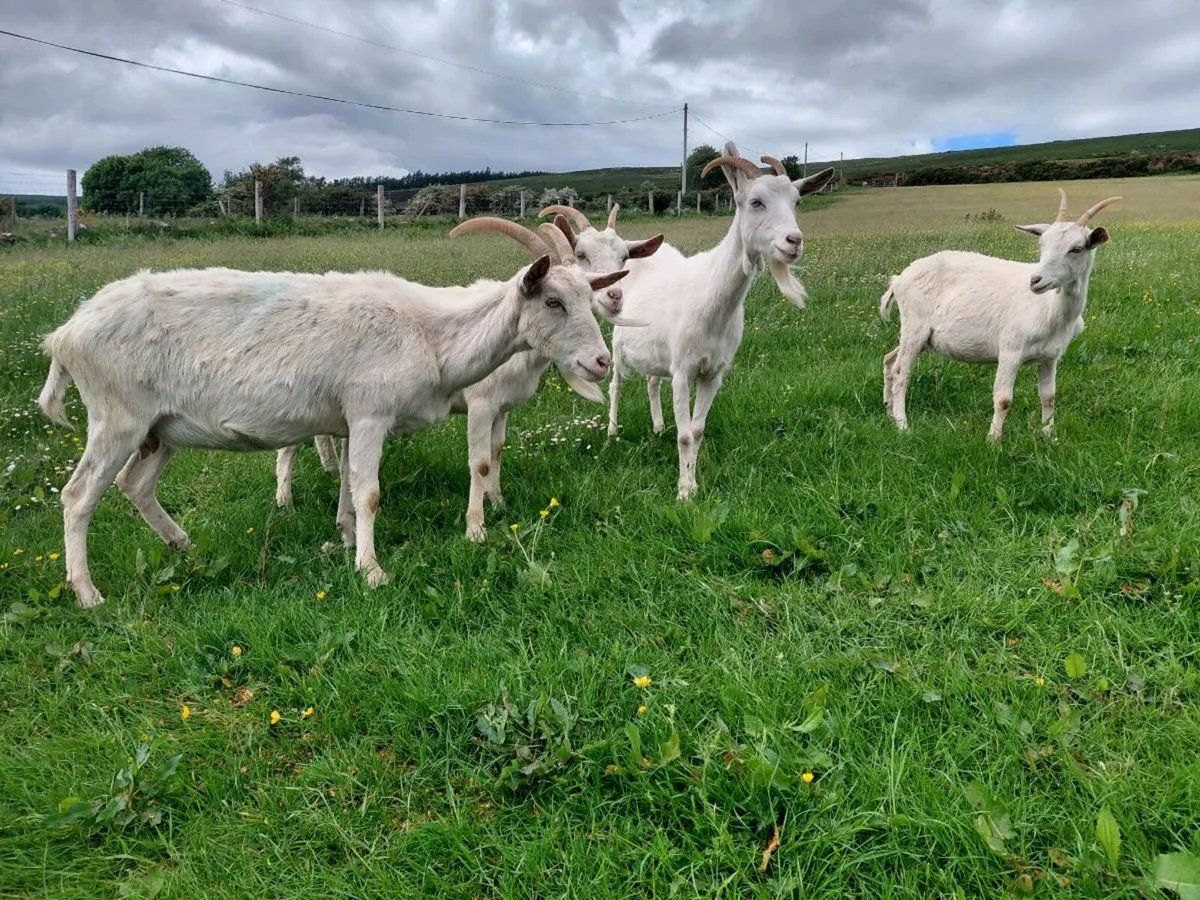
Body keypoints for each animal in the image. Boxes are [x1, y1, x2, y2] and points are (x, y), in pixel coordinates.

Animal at [274, 215, 658, 542]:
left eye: (623, 257)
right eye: (582, 255)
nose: (601, 361)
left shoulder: (502, 407)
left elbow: (497, 451)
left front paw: (498, 502)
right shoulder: (481, 403)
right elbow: (480, 462)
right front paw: (475, 527)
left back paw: (329, 470)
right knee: (288, 445)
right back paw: (284, 502)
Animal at [605, 142, 835, 498]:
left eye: (796, 202)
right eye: (755, 202)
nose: (794, 241)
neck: (711, 299)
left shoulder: (713, 372)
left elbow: (697, 431)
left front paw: (694, 483)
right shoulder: (683, 370)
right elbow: (685, 434)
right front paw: (683, 492)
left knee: (652, 382)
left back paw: (657, 427)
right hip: (618, 343)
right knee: (616, 384)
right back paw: (611, 432)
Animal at [880, 189, 1120, 443]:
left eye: (1076, 249)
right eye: (1042, 244)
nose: (1035, 280)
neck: (1050, 309)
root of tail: (899, 279)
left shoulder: (1050, 357)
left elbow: (1049, 397)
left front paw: (1049, 436)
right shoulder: (1010, 351)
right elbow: (1004, 399)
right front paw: (993, 440)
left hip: (922, 336)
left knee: (889, 359)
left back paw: (889, 411)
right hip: (914, 325)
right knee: (901, 371)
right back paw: (903, 425)